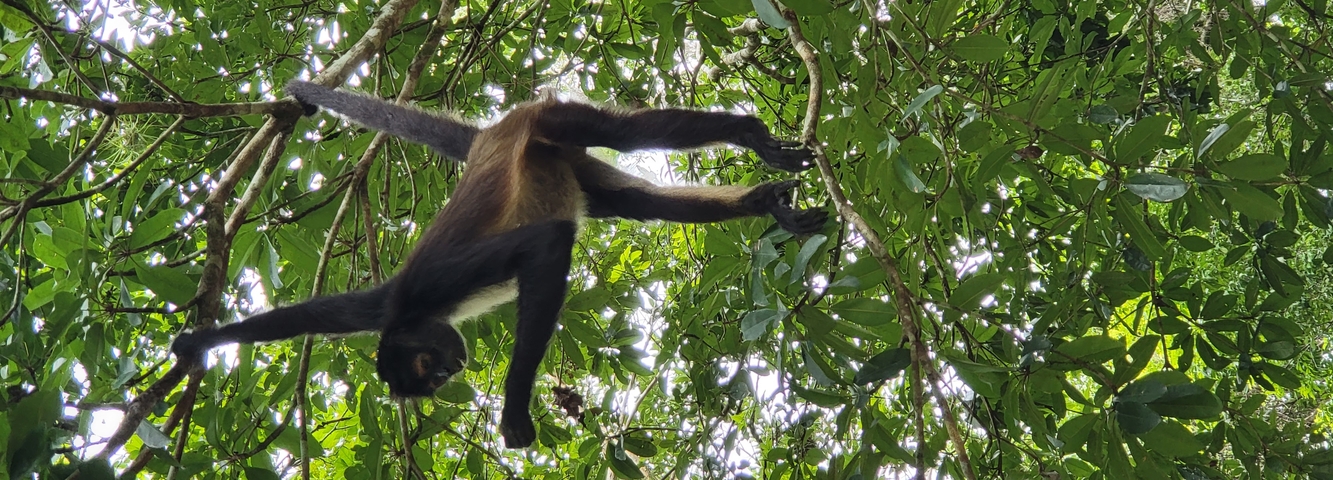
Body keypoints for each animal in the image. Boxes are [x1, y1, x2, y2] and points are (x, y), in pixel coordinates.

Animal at [171, 80, 827, 448]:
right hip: (565, 161)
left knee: (623, 134)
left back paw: (747, 132)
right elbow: (305, 316)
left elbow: (548, 245)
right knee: (638, 203)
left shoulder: (430, 282)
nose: (449, 372)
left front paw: (514, 408)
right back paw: (763, 201)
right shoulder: (377, 305)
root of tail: (494, 133)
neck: (415, 310)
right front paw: (197, 342)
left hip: (547, 121)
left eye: (426, 367)